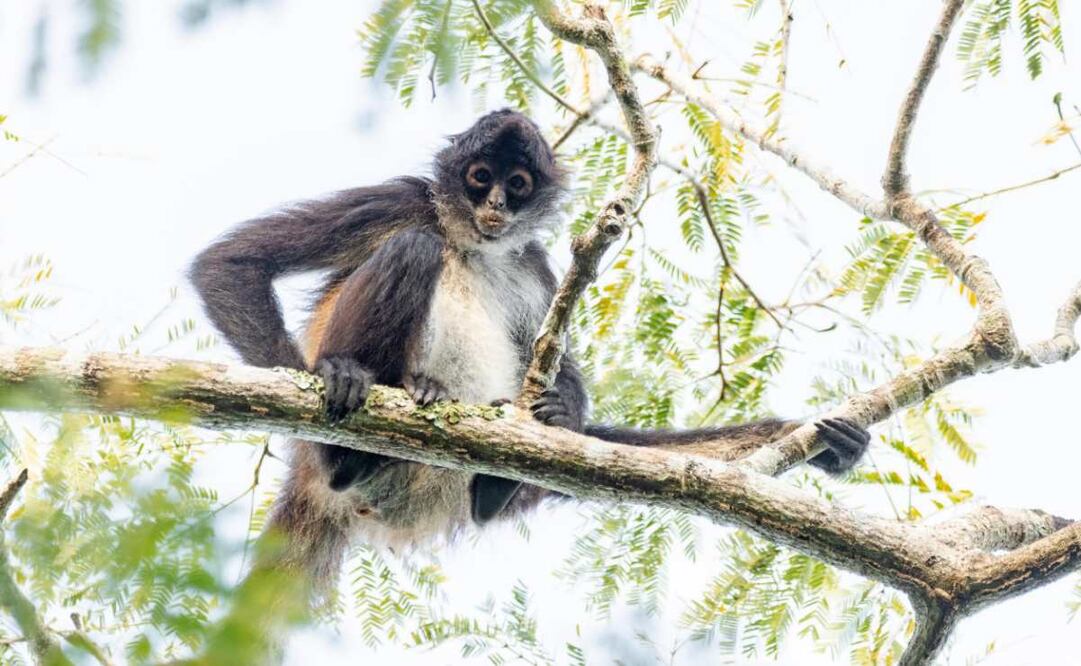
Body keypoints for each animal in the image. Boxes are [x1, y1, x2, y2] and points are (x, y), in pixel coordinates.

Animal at [189, 109, 870, 585]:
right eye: (478, 178)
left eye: (516, 184)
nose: (494, 203)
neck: (474, 240)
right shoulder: (403, 198)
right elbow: (229, 263)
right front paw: (325, 384)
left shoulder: (532, 259)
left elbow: (557, 361)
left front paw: (561, 413)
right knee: (413, 247)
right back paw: (346, 440)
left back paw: (492, 490)